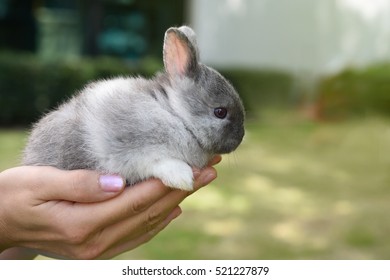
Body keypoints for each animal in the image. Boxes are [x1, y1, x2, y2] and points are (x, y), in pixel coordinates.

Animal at [22, 26, 244, 190]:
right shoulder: (126, 152)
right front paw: (182, 179)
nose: (240, 138)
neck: (174, 114)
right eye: (220, 112)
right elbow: (155, 162)